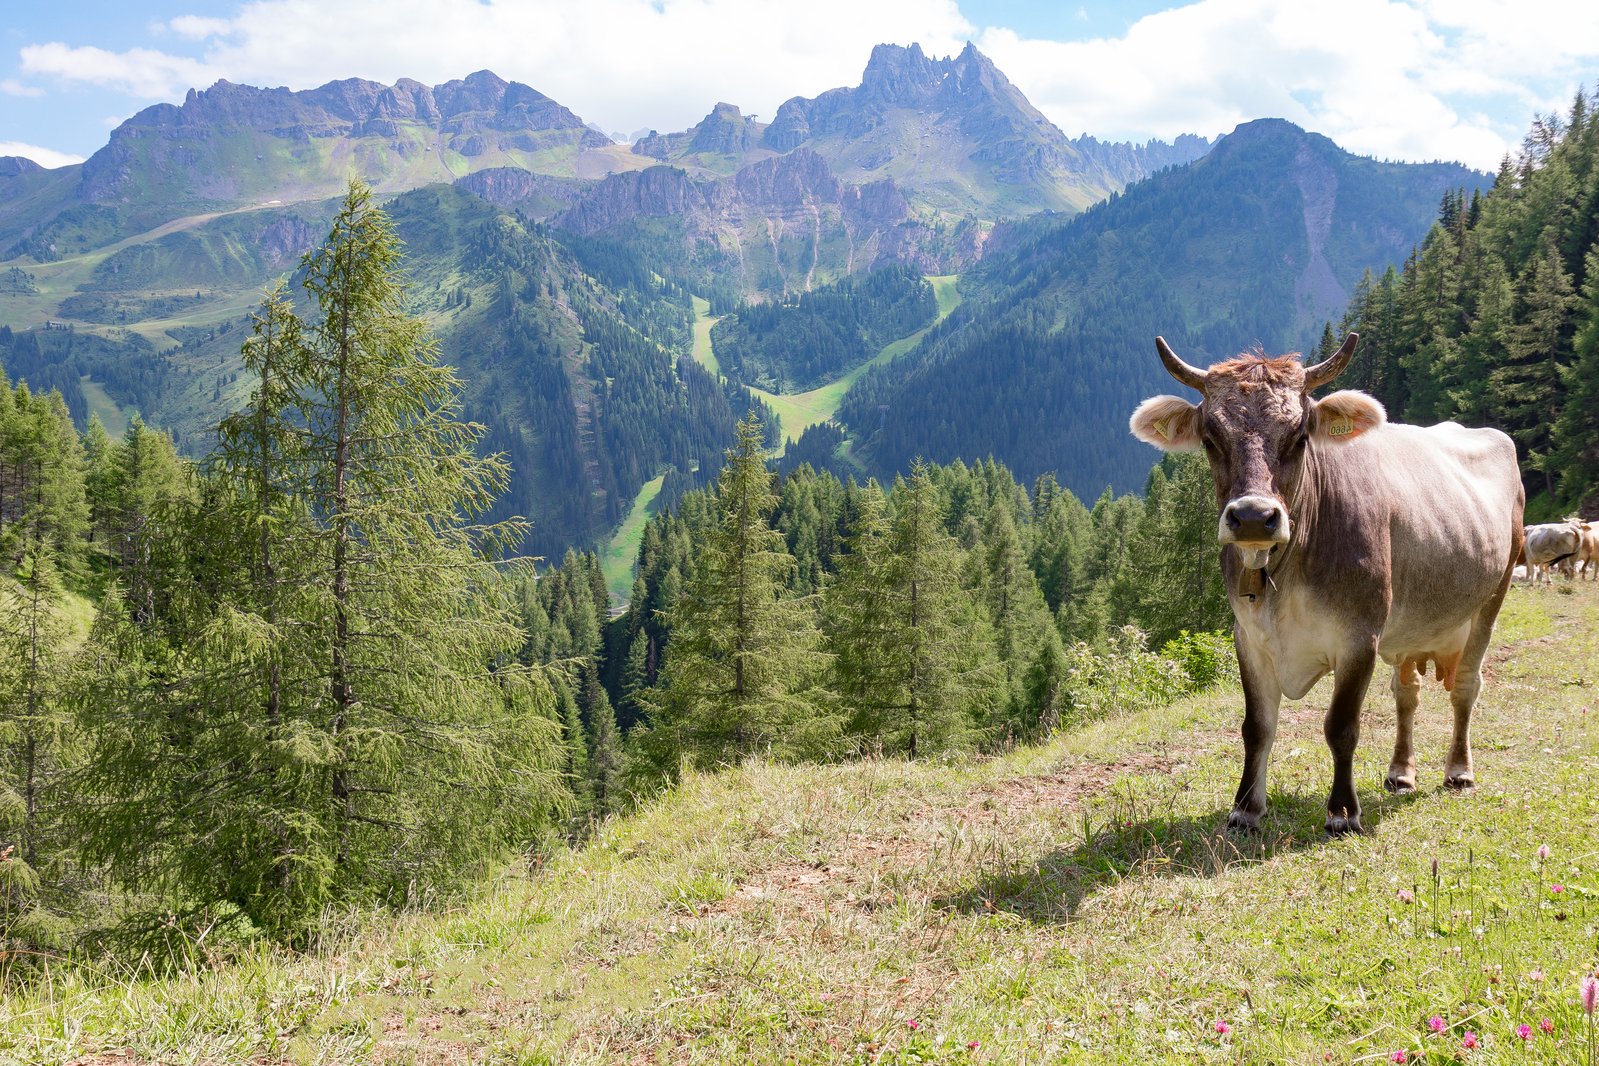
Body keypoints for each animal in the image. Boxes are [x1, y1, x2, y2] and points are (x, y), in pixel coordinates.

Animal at [1125, 334, 1522, 831]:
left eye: (1299, 437)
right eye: (1211, 439)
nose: (1253, 516)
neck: (1285, 575)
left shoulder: (1359, 636)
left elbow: (1341, 726)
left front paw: (1343, 812)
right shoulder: (1248, 637)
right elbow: (1256, 727)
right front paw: (1245, 808)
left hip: (1492, 597)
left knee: (1467, 685)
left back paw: (1458, 770)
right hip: (1409, 626)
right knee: (1406, 694)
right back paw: (1401, 773)